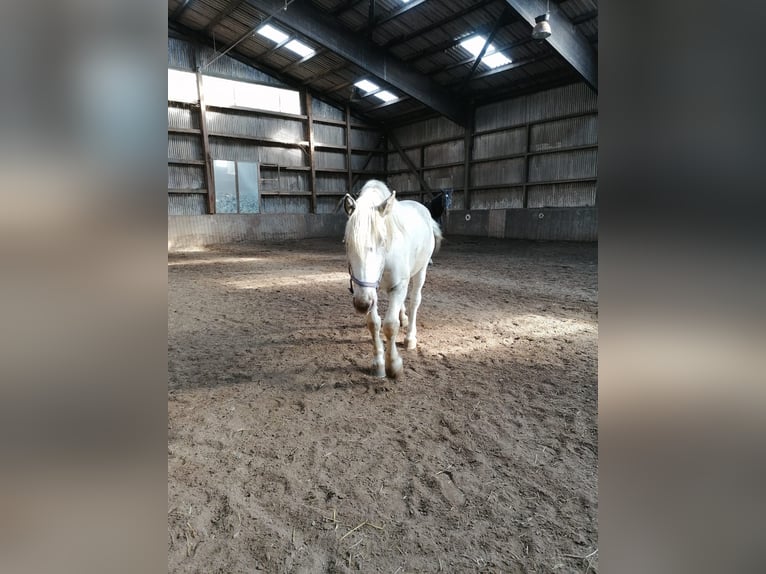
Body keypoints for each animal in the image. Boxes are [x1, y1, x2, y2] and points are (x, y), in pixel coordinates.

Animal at [344, 180, 444, 378]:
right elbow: (374, 323)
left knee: (414, 301)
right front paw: (378, 364)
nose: (361, 304)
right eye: (347, 243)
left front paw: (394, 365)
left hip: (420, 271)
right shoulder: (371, 291)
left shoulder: (396, 287)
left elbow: (390, 325)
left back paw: (410, 337)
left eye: (382, 241)